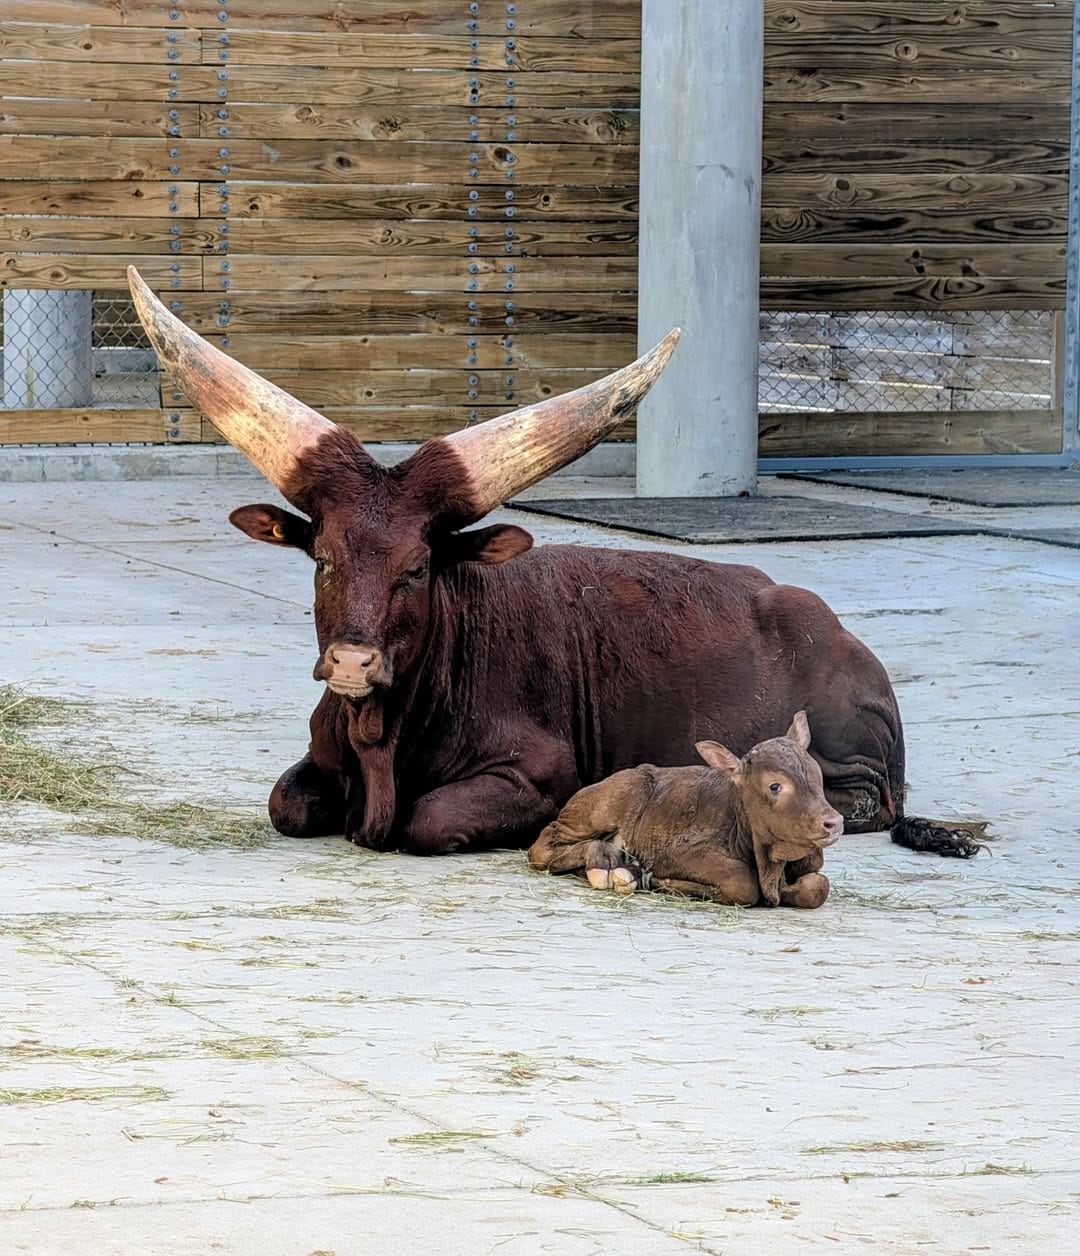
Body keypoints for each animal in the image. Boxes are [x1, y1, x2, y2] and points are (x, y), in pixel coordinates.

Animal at [126, 267, 981, 860]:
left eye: (416, 568)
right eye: (325, 561)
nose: (352, 664)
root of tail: (834, 629)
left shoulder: (536, 773)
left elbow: (427, 819)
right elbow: (287, 802)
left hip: (849, 760)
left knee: (867, 802)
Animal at [527, 712, 840, 909]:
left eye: (817, 775)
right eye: (775, 786)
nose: (834, 822)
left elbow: (818, 886)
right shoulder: (674, 851)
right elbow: (741, 881)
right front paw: (657, 880)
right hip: (603, 805)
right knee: (541, 846)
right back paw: (604, 863)